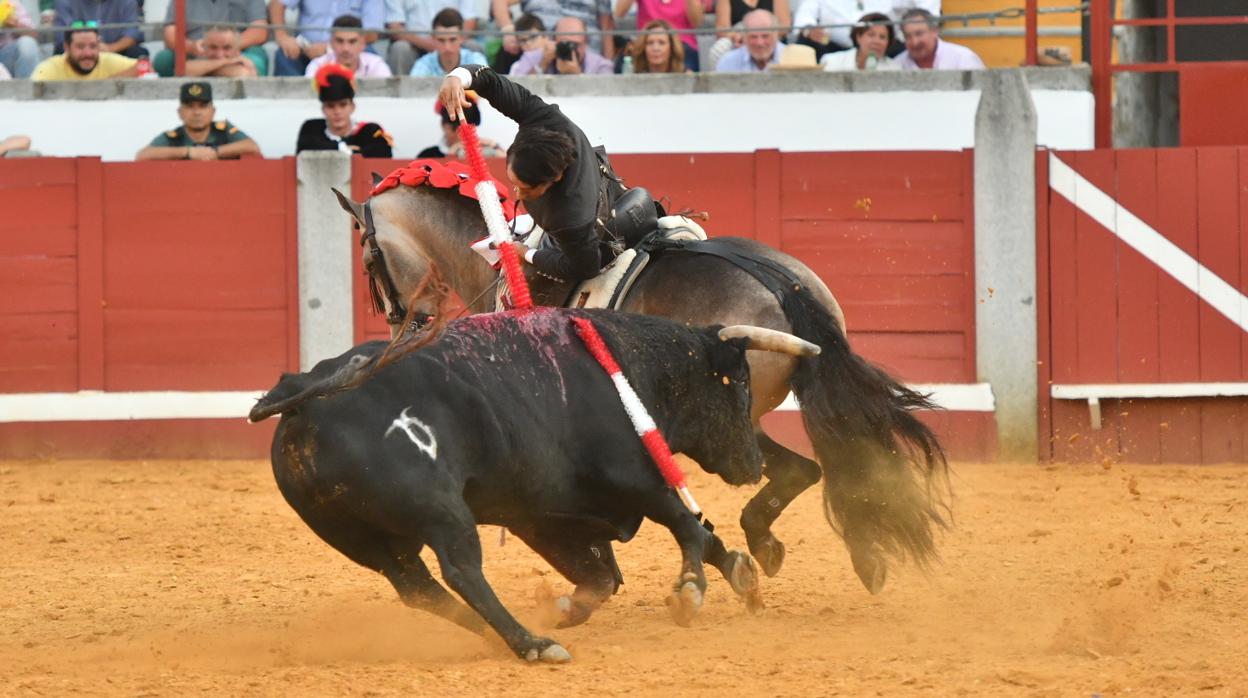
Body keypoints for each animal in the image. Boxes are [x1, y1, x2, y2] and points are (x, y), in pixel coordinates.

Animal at [249, 308, 823, 664]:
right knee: (462, 571)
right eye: (740, 382)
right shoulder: (632, 477)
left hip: (364, 540)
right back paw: (532, 645)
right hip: (442, 512)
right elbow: (686, 523)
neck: (628, 367)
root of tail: (305, 396)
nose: (752, 462)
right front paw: (689, 592)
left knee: (418, 588)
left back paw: (500, 636)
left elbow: (609, 572)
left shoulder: (540, 515)